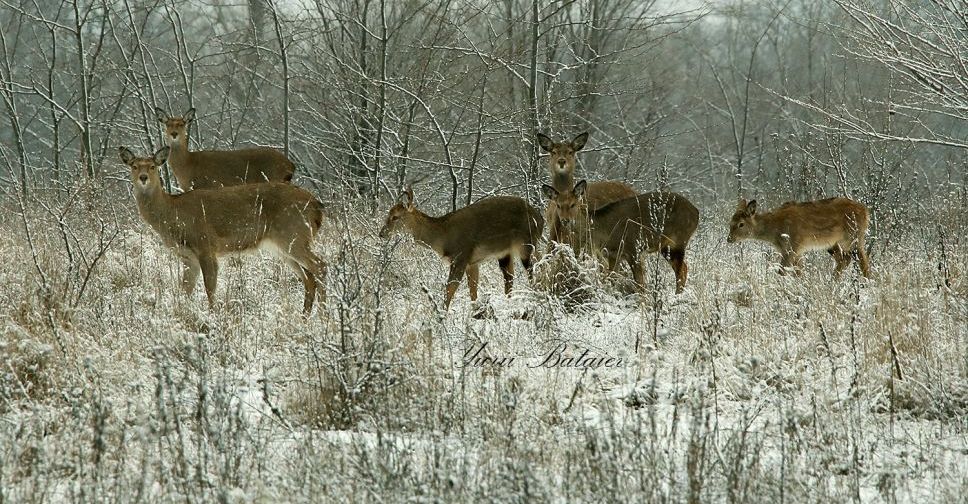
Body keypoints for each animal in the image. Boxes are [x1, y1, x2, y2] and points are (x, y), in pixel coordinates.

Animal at [119, 144, 326, 316]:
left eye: (153, 166)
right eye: (134, 166)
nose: (143, 178)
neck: (172, 213)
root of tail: (316, 206)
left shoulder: (205, 244)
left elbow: (209, 287)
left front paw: (213, 316)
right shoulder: (188, 257)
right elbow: (185, 289)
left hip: (293, 234)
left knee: (320, 266)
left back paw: (324, 316)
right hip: (283, 245)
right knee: (308, 277)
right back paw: (305, 316)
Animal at [155, 106, 294, 191]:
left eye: (182, 124)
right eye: (168, 124)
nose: (174, 134)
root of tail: (291, 165)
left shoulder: (207, 185)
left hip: (274, 178)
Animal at [378, 187, 544, 310]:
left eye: (396, 217)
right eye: (389, 213)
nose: (381, 234)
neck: (442, 238)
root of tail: (540, 219)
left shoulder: (461, 256)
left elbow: (449, 289)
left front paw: (441, 316)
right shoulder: (472, 262)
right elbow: (473, 292)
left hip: (526, 244)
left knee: (533, 270)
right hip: (507, 252)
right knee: (512, 276)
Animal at [540, 180, 700, 292]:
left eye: (573, 204)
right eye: (558, 205)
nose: (565, 220)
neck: (601, 231)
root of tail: (697, 213)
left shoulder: (633, 248)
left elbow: (640, 285)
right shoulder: (612, 254)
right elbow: (610, 279)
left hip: (678, 240)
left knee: (681, 271)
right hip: (666, 246)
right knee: (684, 268)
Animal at [728, 197, 872, 278]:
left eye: (741, 224)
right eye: (730, 222)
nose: (729, 239)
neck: (774, 231)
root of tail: (866, 211)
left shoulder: (792, 245)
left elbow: (782, 271)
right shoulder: (797, 250)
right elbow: (799, 273)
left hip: (854, 236)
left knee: (863, 261)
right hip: (834, 243)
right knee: (844, 259)